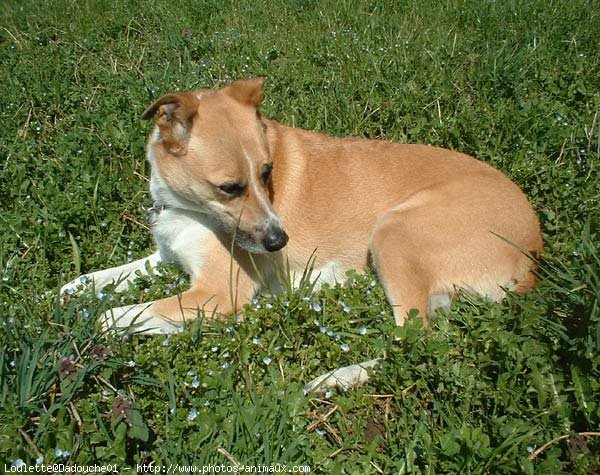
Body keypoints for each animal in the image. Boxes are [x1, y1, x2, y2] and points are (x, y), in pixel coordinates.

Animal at [62, 79, 544, 394]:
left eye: (267, 172)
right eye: (230, 188)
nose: (280, 243)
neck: (185, 207)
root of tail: (533, 251)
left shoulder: (216, 293)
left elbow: (115, 315)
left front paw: (87, 326)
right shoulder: (165, 257)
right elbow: (98, 279)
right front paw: (65, 292)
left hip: (394, 232)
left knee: (412, 341)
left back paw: (338, 377)